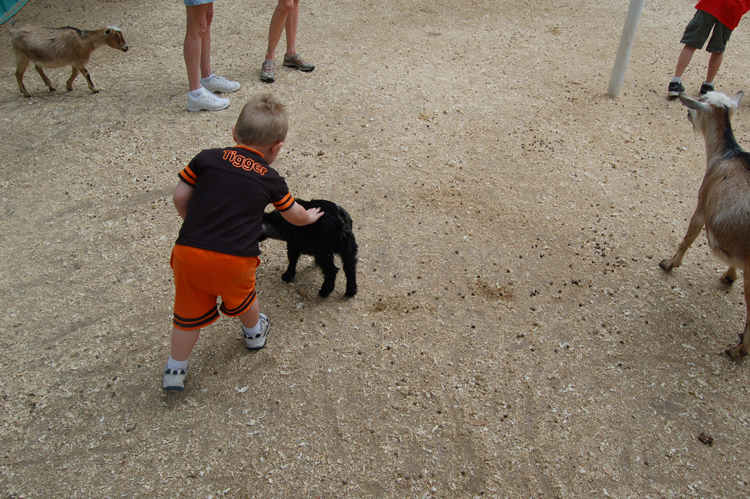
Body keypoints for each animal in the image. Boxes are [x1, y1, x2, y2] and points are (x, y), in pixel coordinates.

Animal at [660, 91, 750, 360]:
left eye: (701, 102)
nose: (688, 111)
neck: (726, 155)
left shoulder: (702, 204)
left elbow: (688, 237)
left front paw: (669, 263)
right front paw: (729, 275)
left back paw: (737, 350)